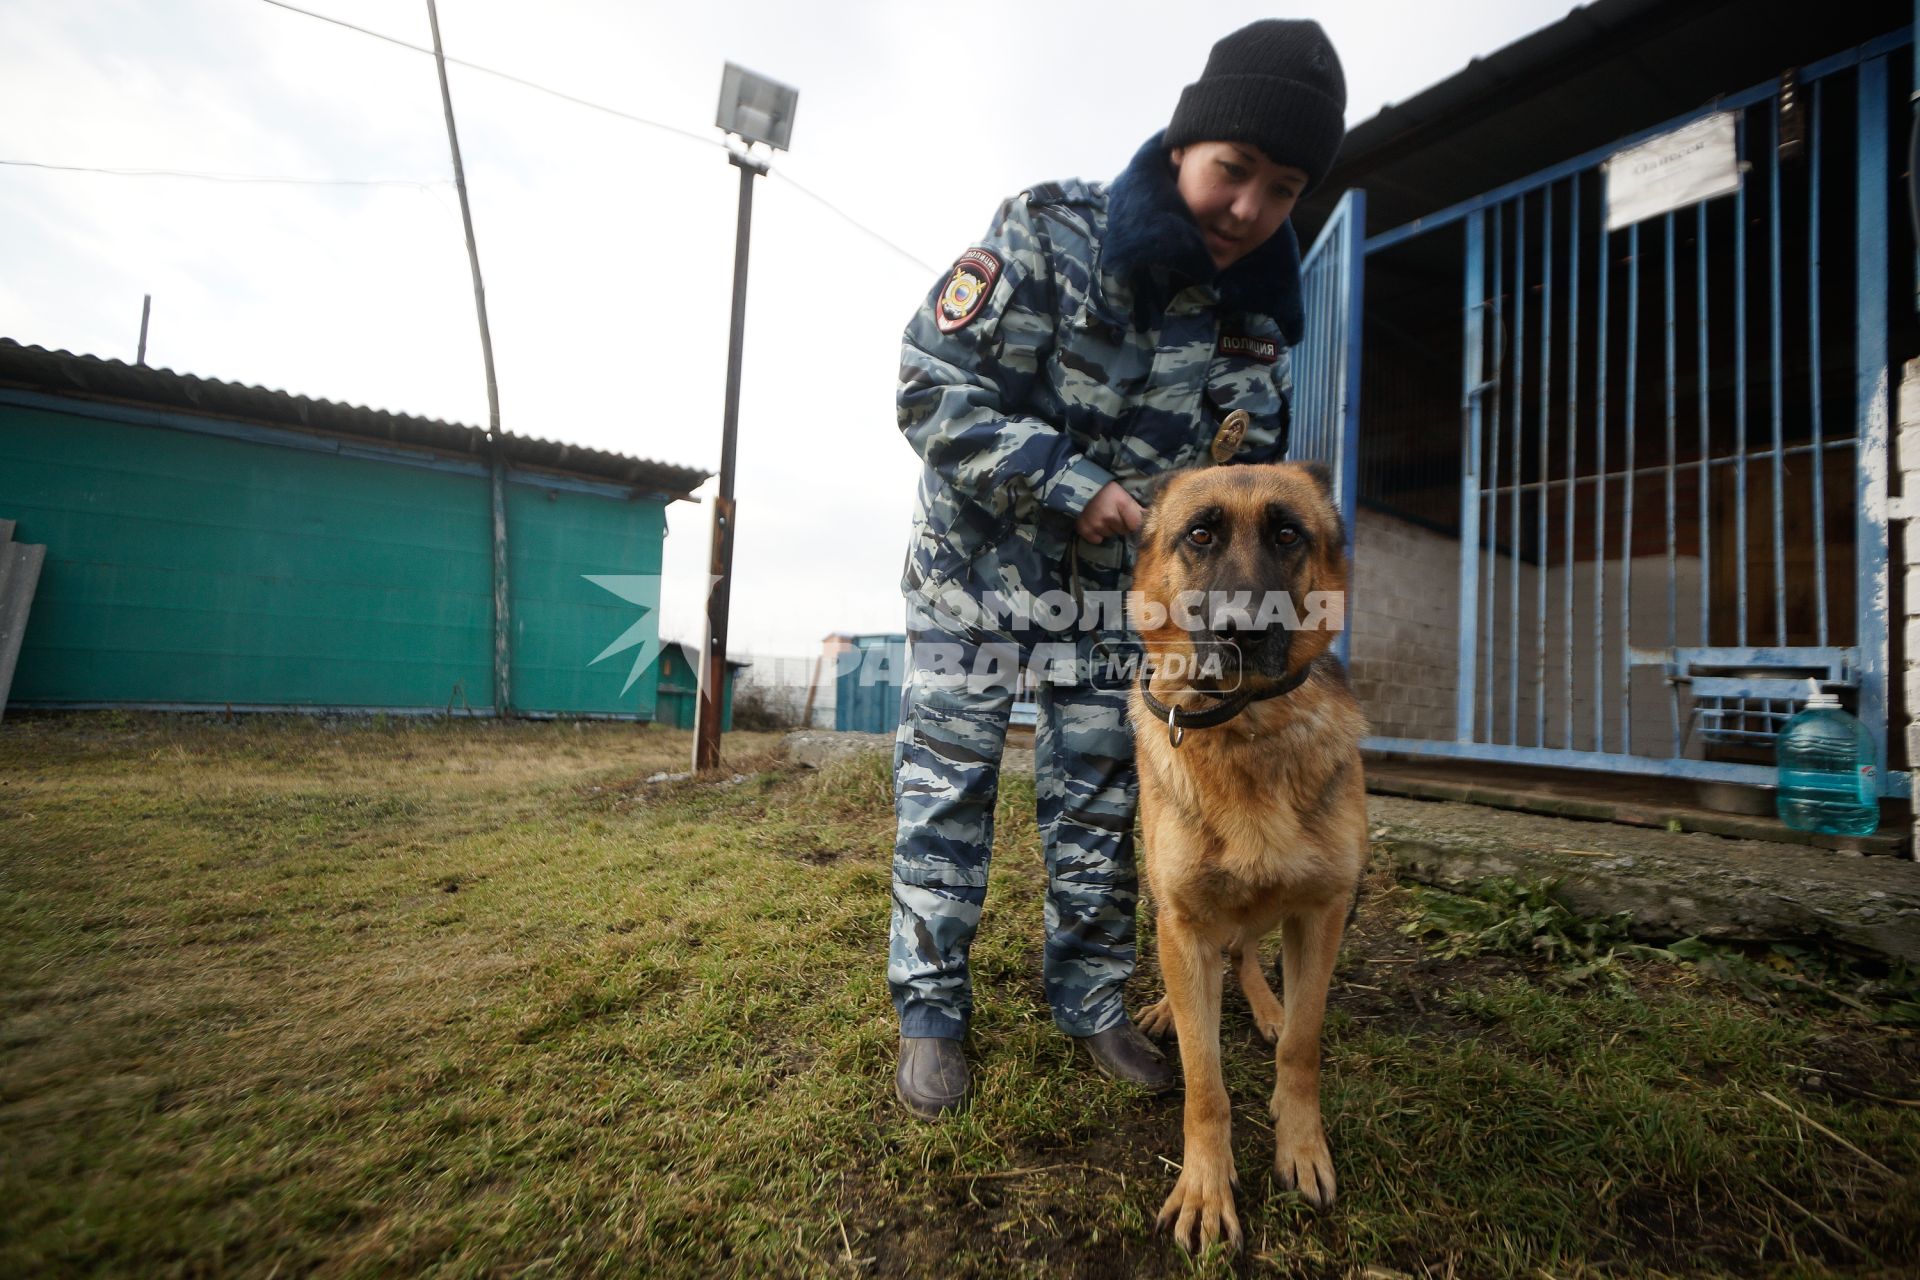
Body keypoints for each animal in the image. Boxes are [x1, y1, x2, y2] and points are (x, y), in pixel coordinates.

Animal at [1121, 460, 1367, 1251]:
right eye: (1200, 535)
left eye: (1287, 534)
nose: (1241, 630)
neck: (1248, 723)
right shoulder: (1185, 919)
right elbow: (1204, 1081)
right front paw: (1205, 1188)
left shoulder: (1322, 913)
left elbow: (1303, 1045)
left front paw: (1301, 1147)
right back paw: (1168, 1006)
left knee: (1248, 953)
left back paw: (1265, 1004)